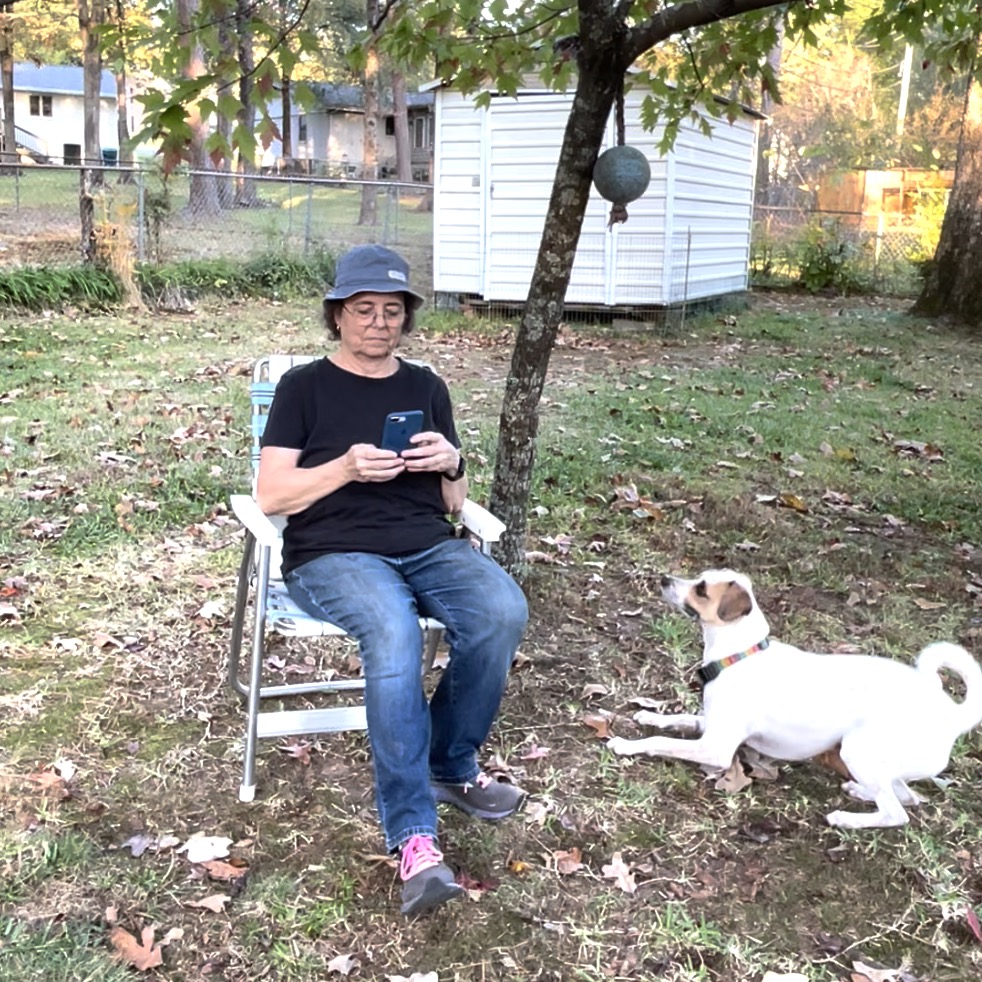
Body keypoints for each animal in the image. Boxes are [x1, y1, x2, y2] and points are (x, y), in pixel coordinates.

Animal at [608, 568, 982, 832]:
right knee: (905, 794)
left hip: (858, 750)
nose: (663, 579)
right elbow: (679, 718)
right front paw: (650, 716)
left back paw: (848, 819)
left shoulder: (715, 748)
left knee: (897, 811)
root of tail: (952, 715)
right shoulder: (711, 725)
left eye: (701, 588)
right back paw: (861, 793)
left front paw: (626, 744)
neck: (739, 654)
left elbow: (659, 742)